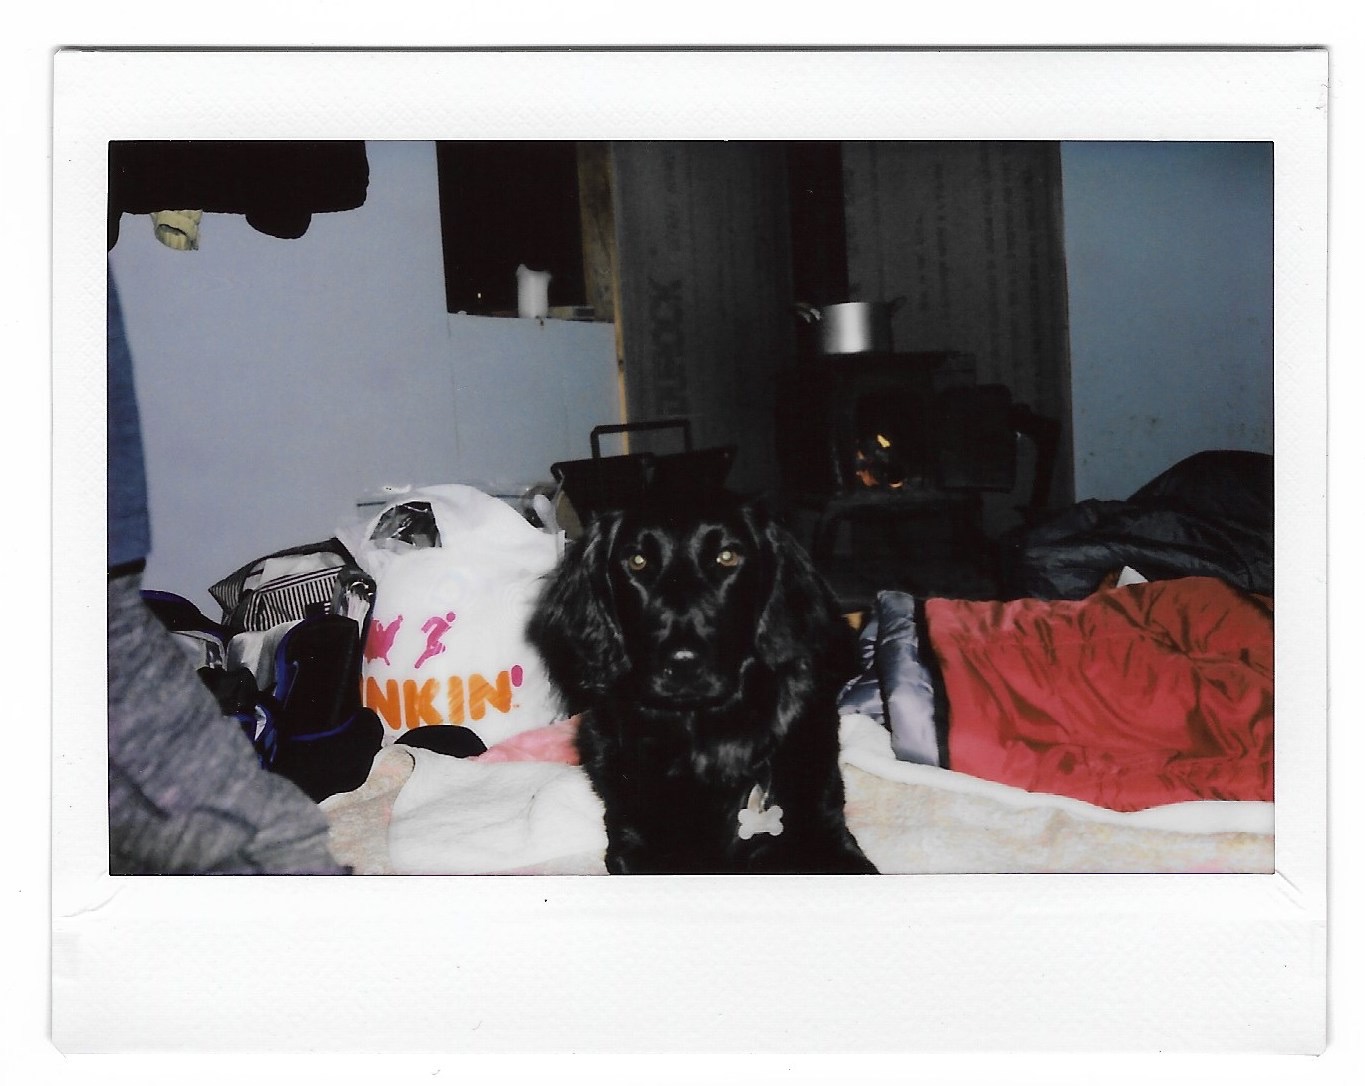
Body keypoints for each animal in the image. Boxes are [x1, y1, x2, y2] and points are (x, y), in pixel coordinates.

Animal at [527, 492, 877, 874]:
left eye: (727, 557)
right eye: (637, 561)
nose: (682, 663)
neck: (703, 737)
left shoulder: (826, 830)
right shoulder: (636, 841)